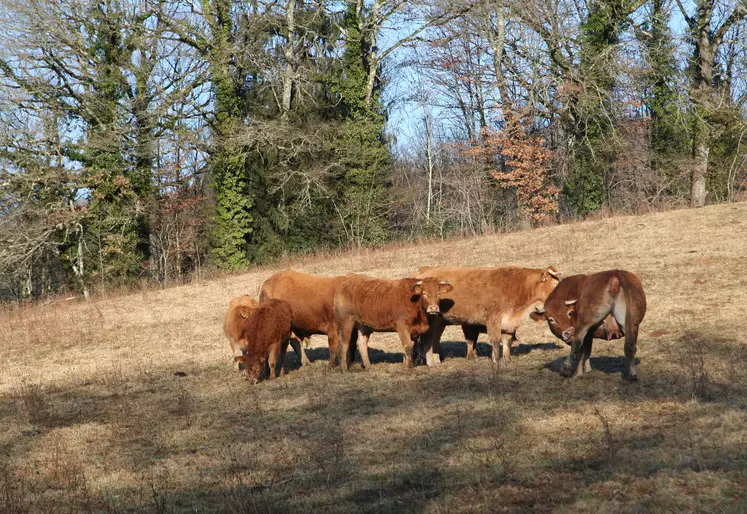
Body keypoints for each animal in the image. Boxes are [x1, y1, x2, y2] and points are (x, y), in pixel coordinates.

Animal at [414, 264, 560, 364]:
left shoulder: (509, 322)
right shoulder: (493, 319)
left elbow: (507, 340)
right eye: (555, 284)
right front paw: (496, 360)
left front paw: (507, 359)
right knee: (431, 339)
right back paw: (433, 360)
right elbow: (495, 340)